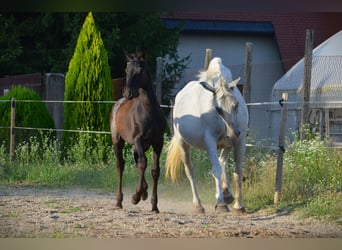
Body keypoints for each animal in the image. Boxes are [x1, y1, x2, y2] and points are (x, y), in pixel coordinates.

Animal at [109, 51, 167, 212]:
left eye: (140, 70)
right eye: (126, 70)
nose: (128, 93)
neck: (148, 111)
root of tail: (118, 103)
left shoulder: (158, 142)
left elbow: (155, 170)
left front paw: (154, 205)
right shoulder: (138, 139)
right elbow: (142, 163)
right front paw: (135, 197)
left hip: (139, 145)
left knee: (136, 161)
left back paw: (144, 192)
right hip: (118, 141)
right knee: (121, 165)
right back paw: (119, 201)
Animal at [164, 57, 247, 214]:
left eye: (236, 104)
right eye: (218, 108)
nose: (233, 134)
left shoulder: (240, 141)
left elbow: (238, 170)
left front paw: (239, 206)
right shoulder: (210, 141)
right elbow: (215, 169)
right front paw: (220, 204)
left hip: (226, 144)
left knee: (222, 161)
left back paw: (227, 193)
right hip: (183, 144)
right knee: (190, 171)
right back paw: (198, 205)